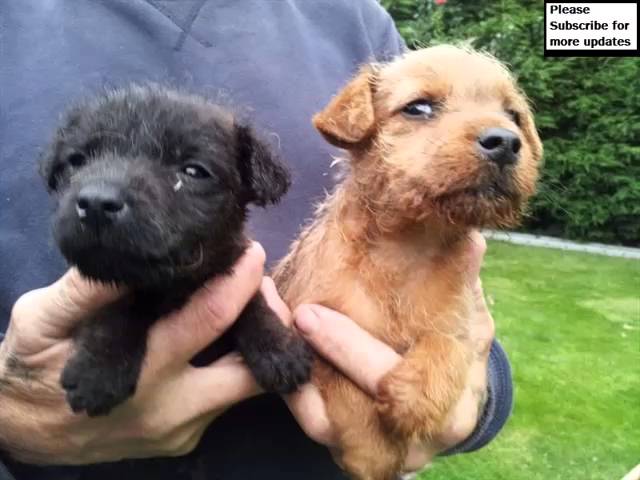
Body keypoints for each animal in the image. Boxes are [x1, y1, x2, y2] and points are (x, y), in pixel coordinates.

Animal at [39, 84, 312, 414]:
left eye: (193, 171)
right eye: (78, 160)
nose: (95, 203)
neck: (172, 287)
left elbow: (252, 303)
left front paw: (277, 347)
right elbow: (117, 305)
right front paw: (99, 369)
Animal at [272, 46, 544, 480]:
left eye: (513, 115)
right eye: (418, 107)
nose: (505, 142)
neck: (408, 247)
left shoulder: (461, 322)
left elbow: (448, 344)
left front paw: (412, 399)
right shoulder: (306, 323)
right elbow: (342, 382)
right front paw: (372, 452)